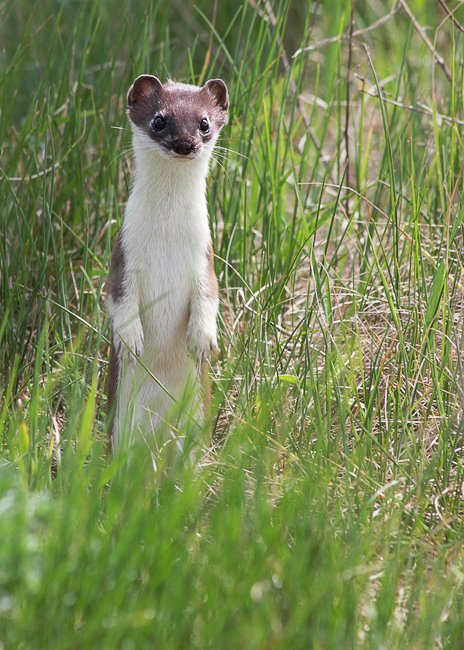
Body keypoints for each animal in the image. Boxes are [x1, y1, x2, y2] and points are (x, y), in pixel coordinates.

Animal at [105, 73, 228, 448]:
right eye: (159, 120)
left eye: (204, 123)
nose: (185, 143)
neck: (167, 236)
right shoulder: (124, 254)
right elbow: (119, 298)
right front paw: (130, 340)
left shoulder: (205, 256)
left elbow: (209, 295)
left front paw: (202, 339)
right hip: (119, 419)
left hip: (197, 414)